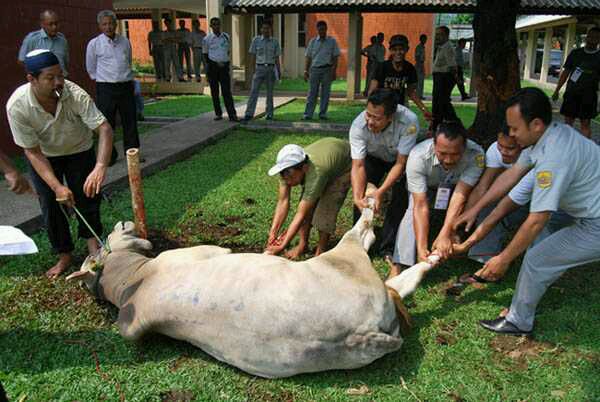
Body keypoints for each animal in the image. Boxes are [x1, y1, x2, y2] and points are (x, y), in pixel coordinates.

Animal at [65, 206, 422, 378]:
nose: (121, 222)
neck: (132, 282)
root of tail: (364, 335)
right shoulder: (200, 252)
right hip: (347, 258)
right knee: (369, 247)